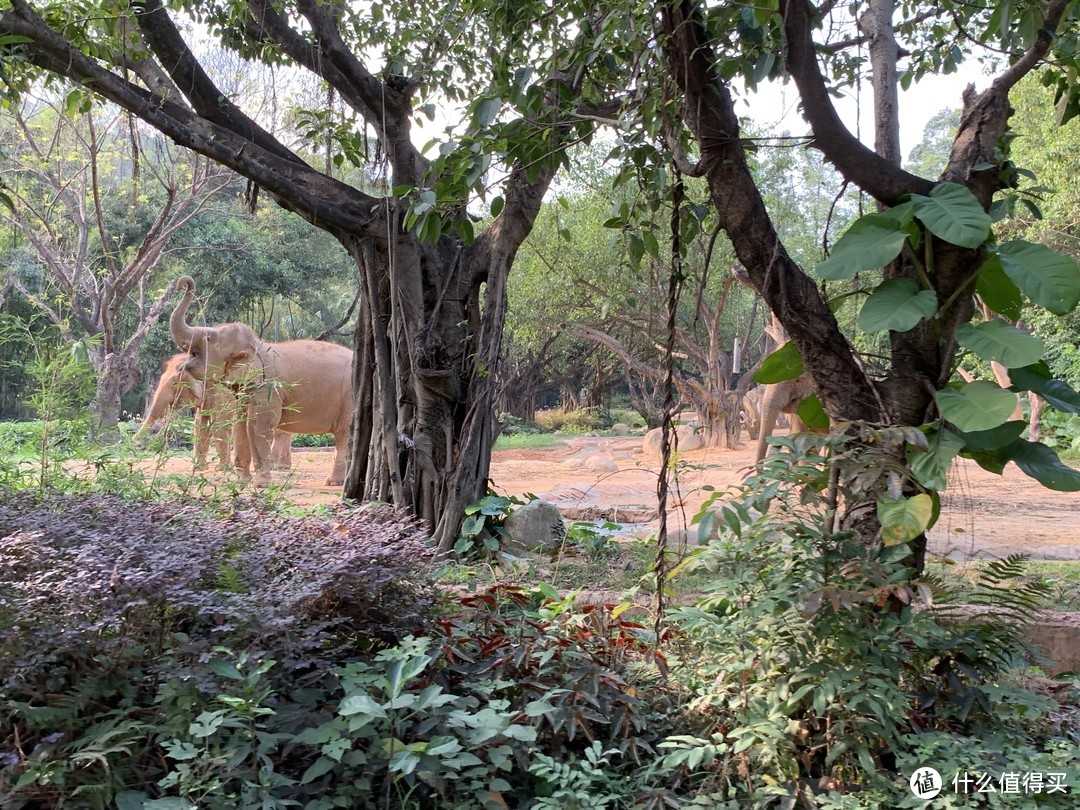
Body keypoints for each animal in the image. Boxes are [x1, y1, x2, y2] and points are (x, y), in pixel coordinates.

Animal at [168, 278, 352, 486]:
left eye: (208, 338)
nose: (181, 283)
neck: (258, 345)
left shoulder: (267, 388)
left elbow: (258, 424)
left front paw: (261, 484)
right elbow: (240, 424)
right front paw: (241, 482)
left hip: (349, 399)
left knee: (344, 435)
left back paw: (334, 483)